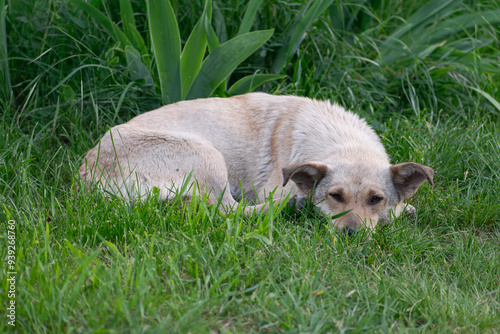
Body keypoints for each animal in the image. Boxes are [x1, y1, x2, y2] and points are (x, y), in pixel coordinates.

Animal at [79, 91, 434, 232]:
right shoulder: (273, 190)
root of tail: (84, 178)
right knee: (228, 212)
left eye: (376, 199)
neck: (341, 139)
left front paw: (401, 209)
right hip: (207, 154)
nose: (353, 235)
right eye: (336, 196)